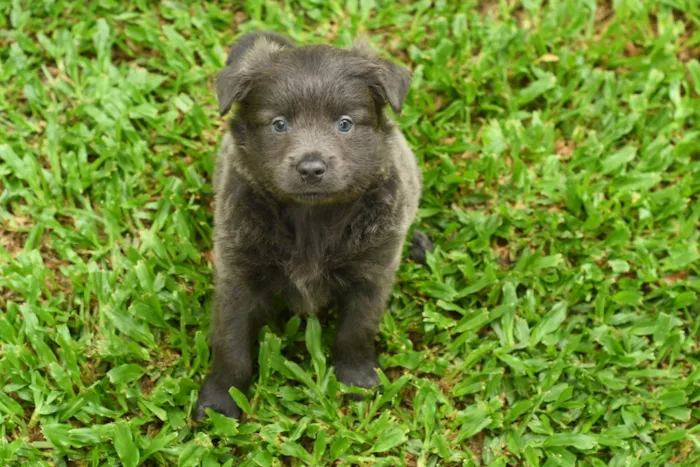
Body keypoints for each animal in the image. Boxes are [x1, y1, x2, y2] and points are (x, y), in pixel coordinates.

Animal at [194, 32, 430, 420]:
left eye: (345, 123)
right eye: (279, 124)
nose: (311, 168)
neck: (312, 218)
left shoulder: (372, 273)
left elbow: (356, 331)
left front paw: (357, 382)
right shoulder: (238, 274)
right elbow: (231, 343)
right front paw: (219, 402)